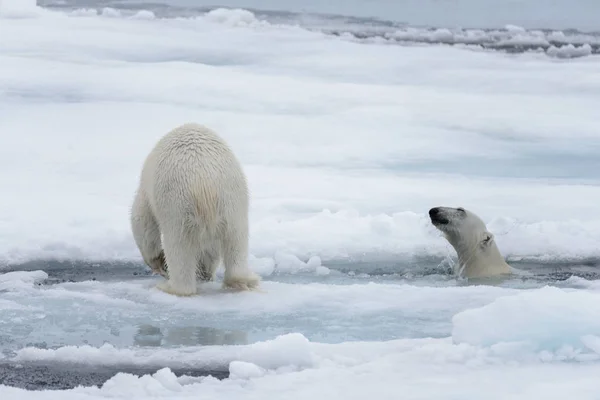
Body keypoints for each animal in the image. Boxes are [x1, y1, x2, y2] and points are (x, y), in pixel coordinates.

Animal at [130, 123, 262, 296]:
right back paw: (239, 280)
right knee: (236, 240)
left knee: (178, 247)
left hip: (177, 206)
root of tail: (204, 184)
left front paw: (158, 263)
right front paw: (205, 272)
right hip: (232, 202)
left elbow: (143, 225)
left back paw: (170, 287)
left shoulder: (147, 194)